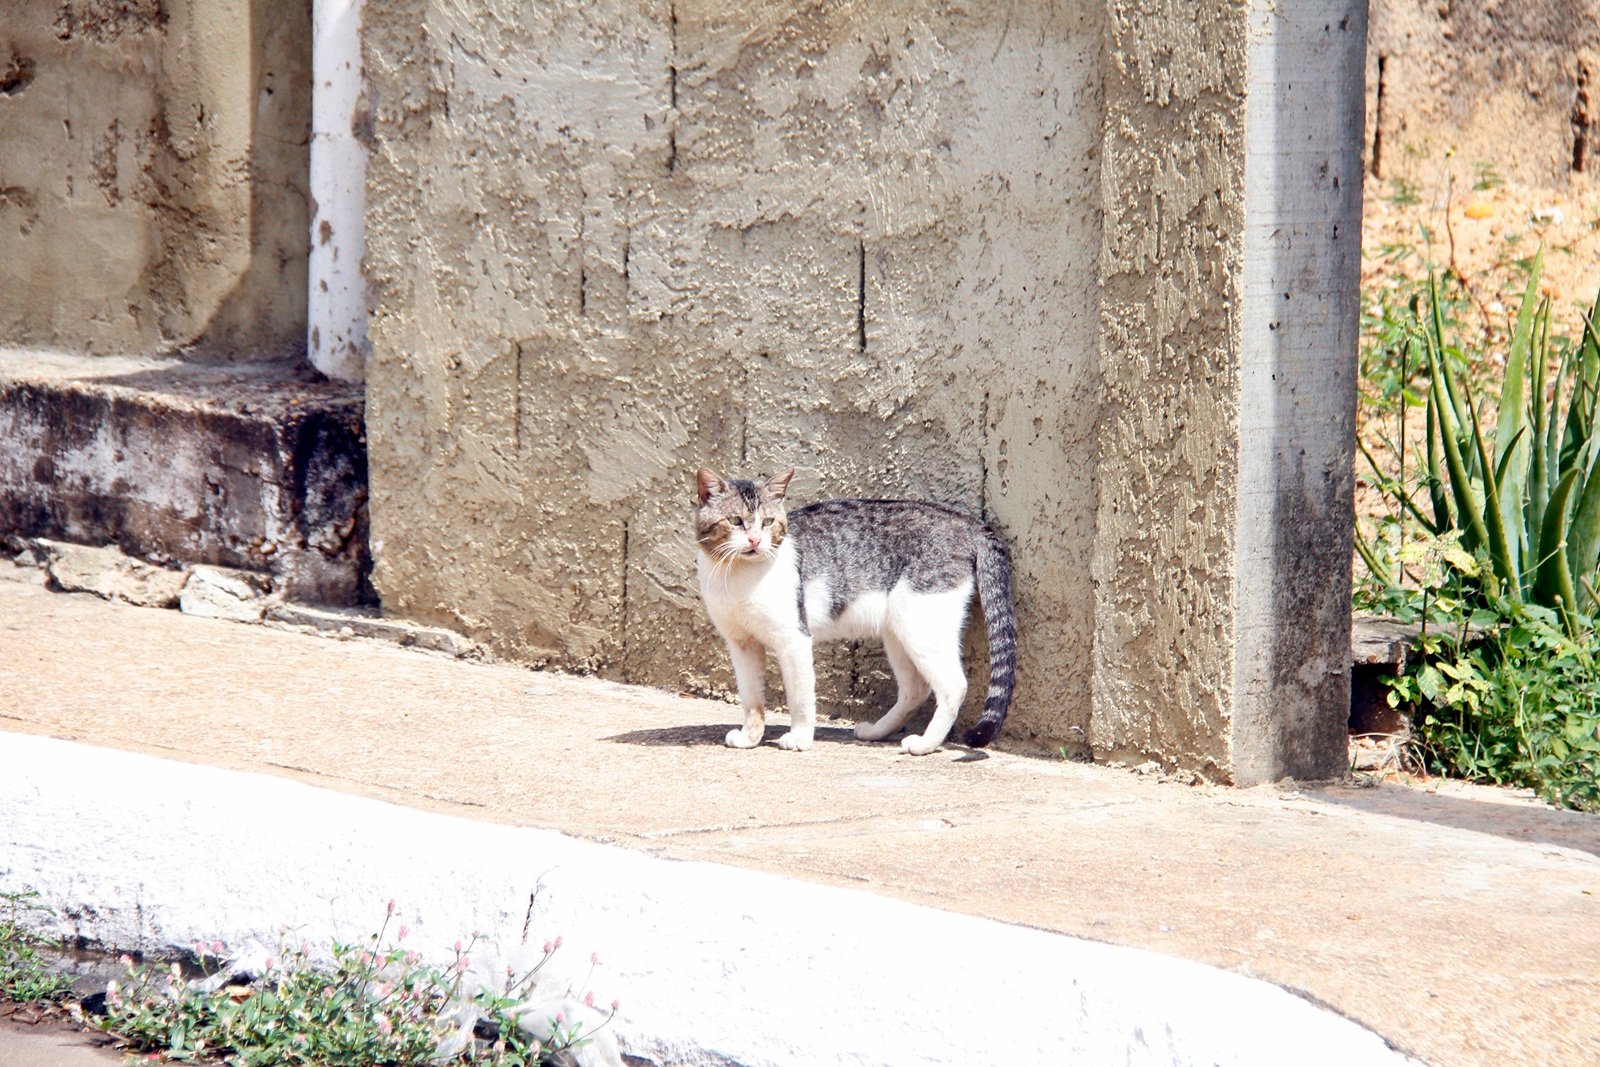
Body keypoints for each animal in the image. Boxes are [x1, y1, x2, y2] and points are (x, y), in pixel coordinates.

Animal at [688, 470, 1011, 758]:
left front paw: (800, 738)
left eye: (768, 522)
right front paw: (750, 738)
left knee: (953, 686)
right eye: (735, 521)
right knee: (915, 689)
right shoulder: (741, 643)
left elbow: (799, 696)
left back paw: (925, 745)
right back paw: (878, 732)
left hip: (918, 623)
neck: (738, 576)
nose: (755, 541)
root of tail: (966, 521)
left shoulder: (794, 638)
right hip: (897, 631)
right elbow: (751, 697)